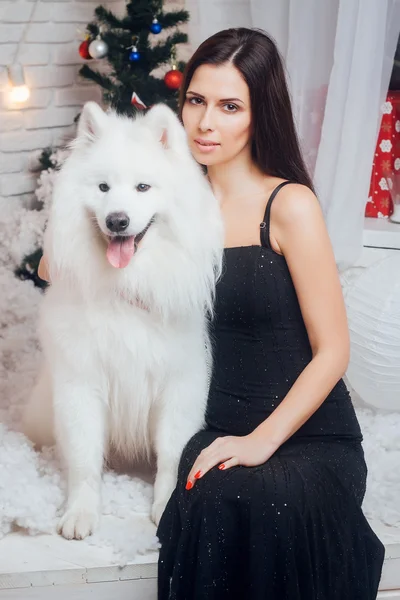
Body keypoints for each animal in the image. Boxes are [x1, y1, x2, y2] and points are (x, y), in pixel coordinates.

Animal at [23, 101, 223, 540]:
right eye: (102, 188)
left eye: (142, 188)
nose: (117, 220)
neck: (126, 284)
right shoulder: (81, 384)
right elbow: (84, 460)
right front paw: (80, 513)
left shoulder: (178, 385)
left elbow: (172, 455)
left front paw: (165, 507)